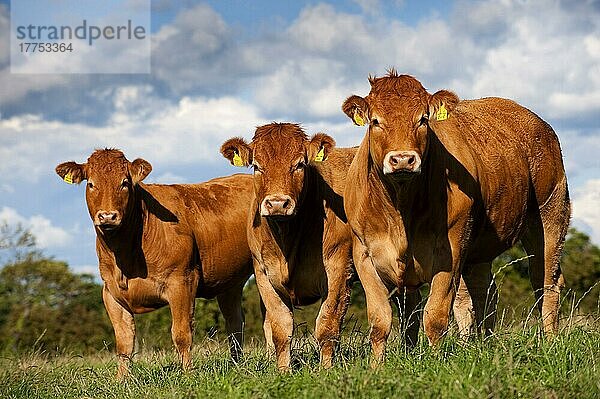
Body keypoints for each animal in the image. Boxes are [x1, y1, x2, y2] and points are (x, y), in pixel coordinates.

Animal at [55, 149, 254, 378]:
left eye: (124, 183)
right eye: (91, 184)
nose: (107, 216)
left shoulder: (182, 282)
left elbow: (181, 334)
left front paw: (188, 375)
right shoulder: (110, 293)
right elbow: (124, 342)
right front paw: (121, 380)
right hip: (229, 282)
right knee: (235, 322)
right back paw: (237, 365)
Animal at [220, 122, 354, 372]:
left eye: (299, 164)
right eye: (256, 166)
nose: (277, 204)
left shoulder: (338, 268)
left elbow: (327, 325)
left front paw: (326, 369)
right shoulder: (263, 274)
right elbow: (281, 328)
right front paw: (283, 371)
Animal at [342, 72, 572, 366]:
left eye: (423, 119)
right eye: (375, 121)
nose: (403, 159)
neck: (401, 208)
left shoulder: (450, 249)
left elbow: (436, 315)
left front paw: (433, 363)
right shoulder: (365, 253)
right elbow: (382, 320)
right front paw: (378, 367)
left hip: (549, 214)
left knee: (546, 283)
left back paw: (551, 342)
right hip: (480, 248)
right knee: (483, 291)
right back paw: (483, 343)